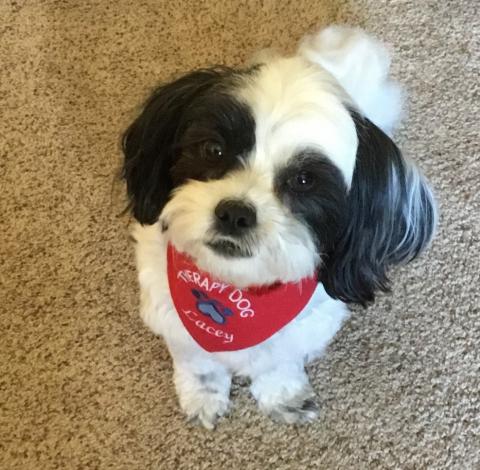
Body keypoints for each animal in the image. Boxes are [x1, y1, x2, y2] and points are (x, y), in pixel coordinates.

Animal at [122, 26, 436, 430]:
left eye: (303, 180)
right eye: (213, 150)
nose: (235, 213)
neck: (235, 290)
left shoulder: (299, 331)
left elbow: (277, 361)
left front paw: (282, 395)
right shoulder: (172, 315)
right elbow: (198, 360)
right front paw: (203, 395)